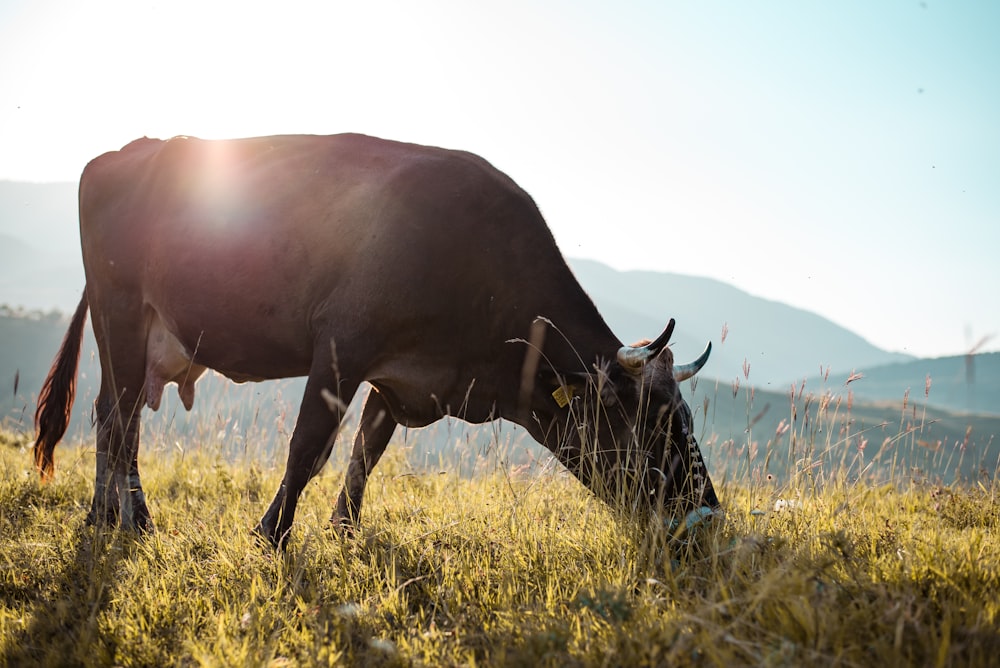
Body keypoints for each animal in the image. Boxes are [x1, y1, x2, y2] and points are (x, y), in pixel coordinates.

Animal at [33, 133, 720, 544]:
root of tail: (124, 152)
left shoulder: (401, 379)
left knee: (112, 416)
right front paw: (271, 536)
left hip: (136, 331)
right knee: (119, 418)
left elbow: (366, 452)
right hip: (120, 311)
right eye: (654, 426)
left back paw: (113, 519)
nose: (708, 518)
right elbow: (309, 448)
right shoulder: (341, 346)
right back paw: (128, 521)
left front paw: (343, 532)